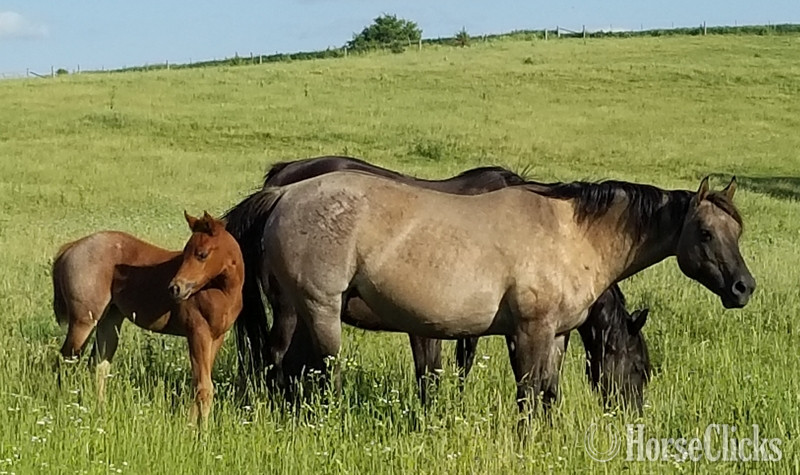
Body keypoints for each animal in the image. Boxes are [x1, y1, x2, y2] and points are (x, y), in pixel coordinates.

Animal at [52, 212, 244, 428]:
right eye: (185, 252)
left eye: (202, 254)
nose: (175, 288)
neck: (222, 291)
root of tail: (71, 247)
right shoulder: (198, 333)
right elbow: (204, 387)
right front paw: (202, 432)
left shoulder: (216, 337)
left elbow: (199, 383)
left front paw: (191, 426)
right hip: (83, 322)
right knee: (64, 362)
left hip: (109, 320)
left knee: (97, 365)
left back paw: (100, 411)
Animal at [232, 171, 753, 424]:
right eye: (705, 233)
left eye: (737, 231)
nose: (743, 287)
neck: (571, 234)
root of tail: (283, 194)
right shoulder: (529, 331)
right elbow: (527, 393)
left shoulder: (556, 334)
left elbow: (547, 393)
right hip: (319, 311)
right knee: (319, 373)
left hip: (299, 312)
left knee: (280, 366)